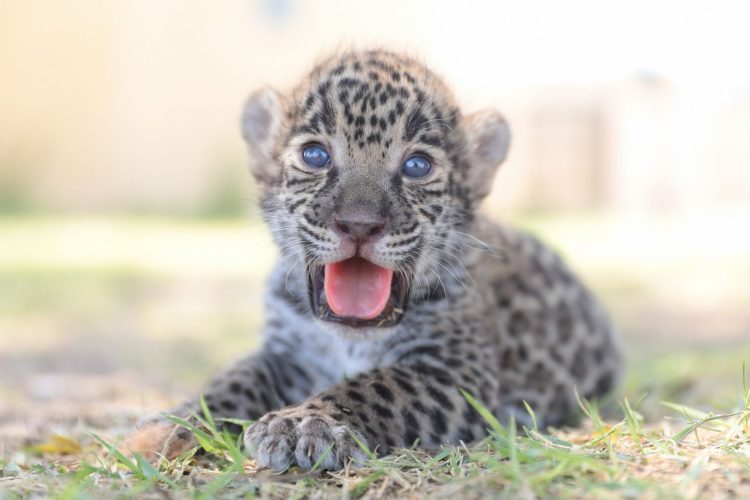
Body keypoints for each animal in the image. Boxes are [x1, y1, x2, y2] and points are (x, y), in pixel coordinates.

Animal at [123, 49, 624, 471]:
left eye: (417, 166)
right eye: (315, 155)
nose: (359, 225)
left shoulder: (454, 370)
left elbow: (374, 385)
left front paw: (306, 422)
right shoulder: (285, 353)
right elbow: (235, 378)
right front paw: (172, 426)